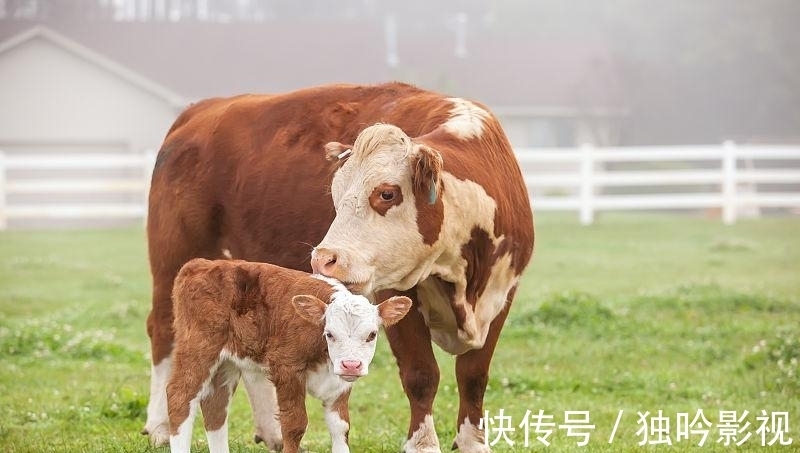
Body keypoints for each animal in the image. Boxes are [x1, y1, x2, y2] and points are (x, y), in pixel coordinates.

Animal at [165, 258, 410, 452]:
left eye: (372, 334)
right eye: (329, 334)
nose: (351, 365)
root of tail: (201, 264)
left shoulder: (339, 383)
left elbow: (341, 427)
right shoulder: (286, 369)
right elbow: (294, 425)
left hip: (227, 362)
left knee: (215, 405)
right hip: (198, 348)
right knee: (179, 396)